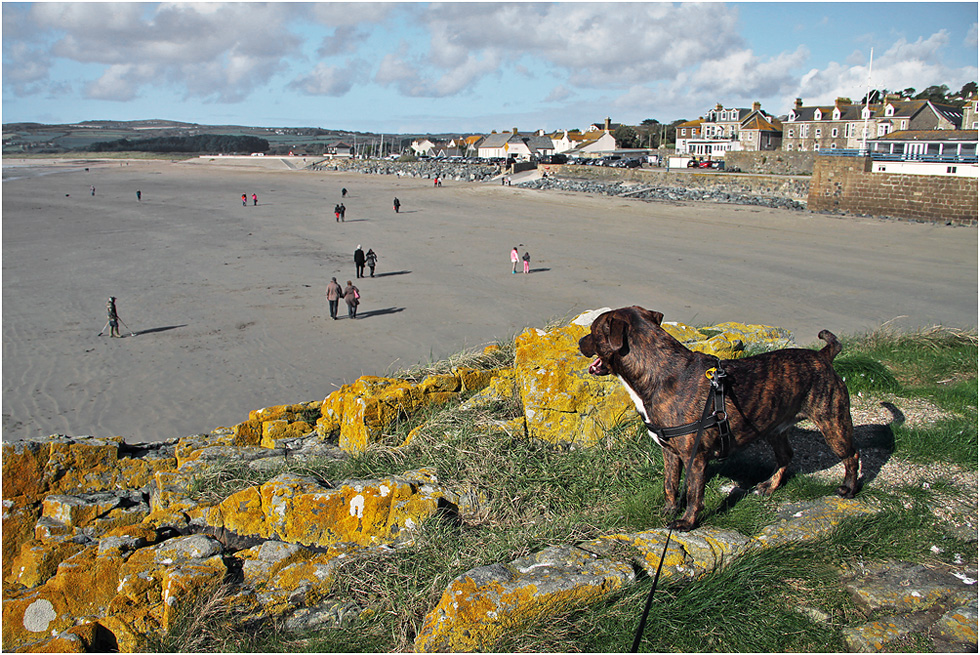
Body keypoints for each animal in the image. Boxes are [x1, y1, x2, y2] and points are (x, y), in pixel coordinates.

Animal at [580, 308, 860, 532]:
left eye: (593, 332)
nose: (580, 342)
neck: (660, 371)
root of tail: (823, 356)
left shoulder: (696, 458)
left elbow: (694, 494)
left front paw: (687, 523)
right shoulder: (670, 453)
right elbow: (670, 485)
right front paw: (669, 510)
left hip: (833, 423)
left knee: (852, 455)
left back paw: (849, 488)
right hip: (775, 428)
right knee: (786, 456)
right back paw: (769, 486)